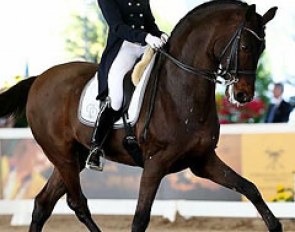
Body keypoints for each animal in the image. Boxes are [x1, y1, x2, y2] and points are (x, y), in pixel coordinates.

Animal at [0, 0, 280, 231]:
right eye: (244, 46)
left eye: (263, 47)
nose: (243, 95)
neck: (180, 90)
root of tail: (40, 79)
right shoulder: (156, 163)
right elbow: (140, 218)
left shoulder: (203, 160)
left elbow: (250, 189)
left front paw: (274, 225)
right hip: (61, 155)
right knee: (77, 203)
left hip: (73, 157)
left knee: (43, 203)